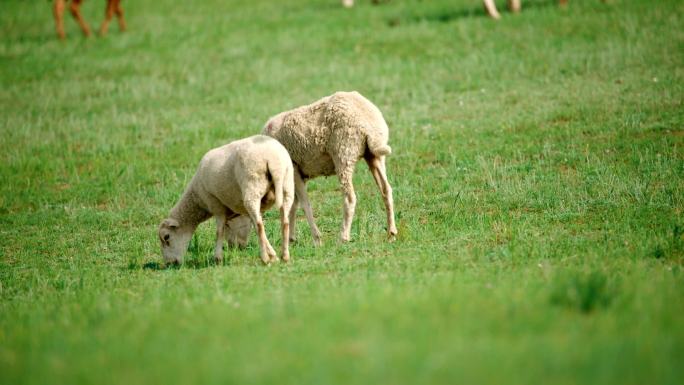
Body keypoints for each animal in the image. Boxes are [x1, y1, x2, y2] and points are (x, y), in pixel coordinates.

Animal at [159, 134, 296, 264]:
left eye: (166, 237)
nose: (170, 263)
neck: (198, 199)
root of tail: (273, 161)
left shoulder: (216, 204)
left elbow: (219, 231)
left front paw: (217, 258)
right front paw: (273, 255)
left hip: (252, 187)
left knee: (260, 225)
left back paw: (264, 259)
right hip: (287, 186)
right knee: (284, 222)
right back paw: (285, 256)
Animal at [262, 90, 398, 243]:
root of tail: (369, 125)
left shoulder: (294, 169)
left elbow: (304, 204)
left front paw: (316, 239)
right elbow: (293, 204)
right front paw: (291, 238)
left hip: (343, 153)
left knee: (350, 197)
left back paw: (343, 237)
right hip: (374, 156)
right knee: (386, 190)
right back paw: (391, 233)